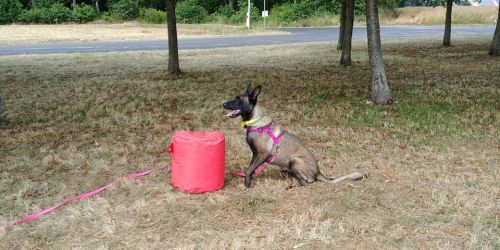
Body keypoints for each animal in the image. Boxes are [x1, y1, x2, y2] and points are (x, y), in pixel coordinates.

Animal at [223, 84, 364, 188]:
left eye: (238, 99)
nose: (223, 104)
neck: (256, 121)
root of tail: (319, 172)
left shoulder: (263, 154)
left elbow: (248, 170)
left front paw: (247, 184)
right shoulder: (255, 154)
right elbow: (250, 169)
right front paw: (249, 179)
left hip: (295, 161)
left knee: (307, 183)